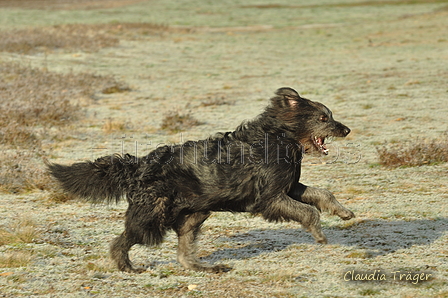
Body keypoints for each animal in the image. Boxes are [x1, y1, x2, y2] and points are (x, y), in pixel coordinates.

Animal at [47, 86, 356, 272]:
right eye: (323, 118)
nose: (347, 129)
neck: (279, 137)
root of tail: (140, 164)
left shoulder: (289, 187)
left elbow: (322, 194)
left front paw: (344, 212)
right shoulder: (270, 198)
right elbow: (309, 212)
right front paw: (320, 235)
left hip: (194, 214)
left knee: (183, 253)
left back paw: (205, 268)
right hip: (152, 215)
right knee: (121, 241)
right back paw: (126, 266)